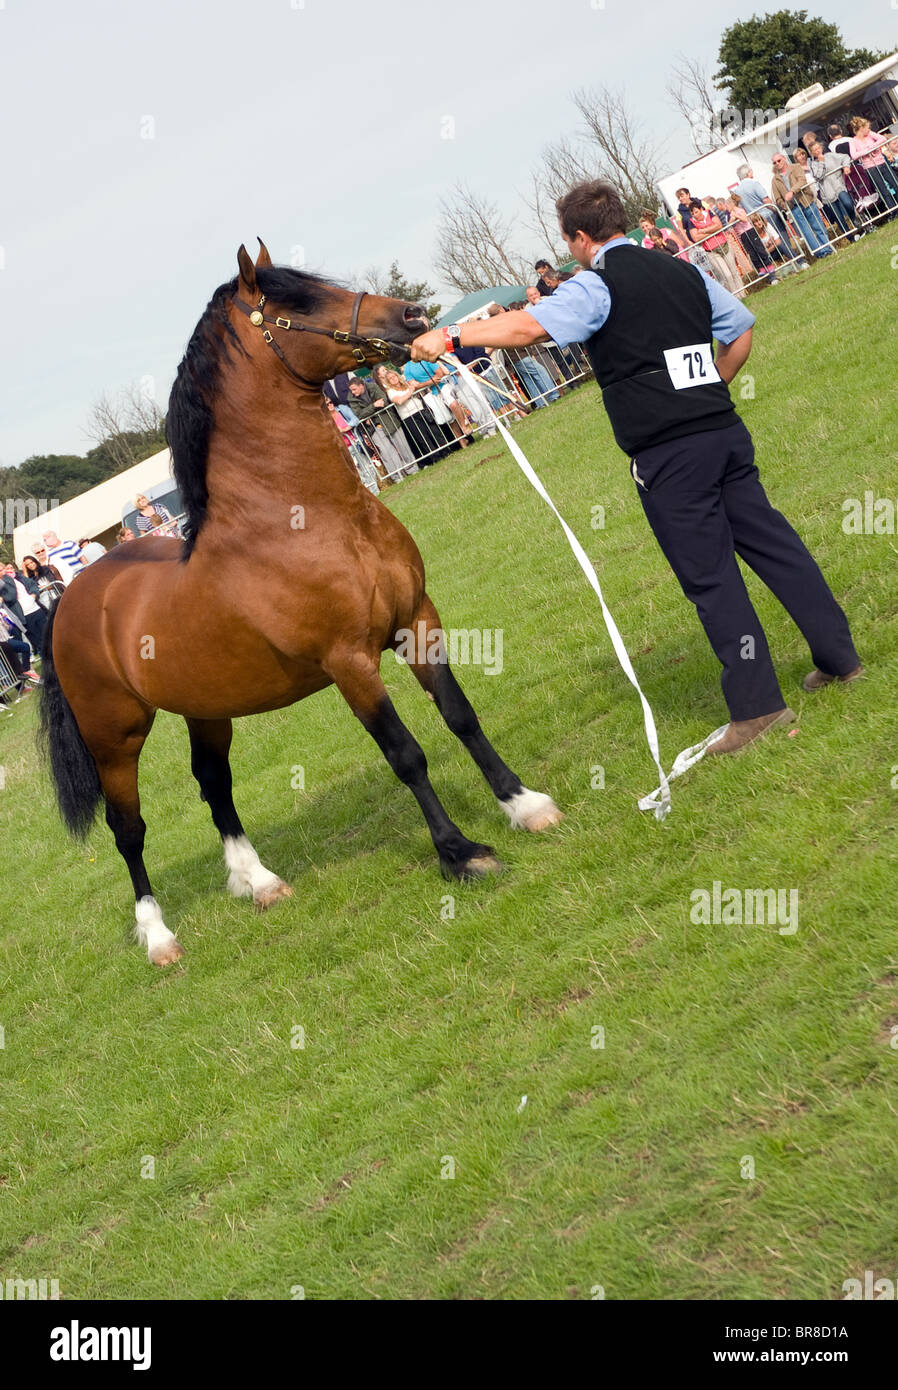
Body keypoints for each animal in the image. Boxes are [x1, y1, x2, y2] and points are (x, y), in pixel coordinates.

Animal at [43, 241, 561, 967]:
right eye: (297, 302)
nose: (412, 318)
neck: (307, 522)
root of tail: (69, 600)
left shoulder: (418, 622)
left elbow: (460, 716)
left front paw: (523, 804)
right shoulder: (349, 662)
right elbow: (406, 754)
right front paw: (460, 853)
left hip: (208, 708)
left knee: (214, 784)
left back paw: (258, 882)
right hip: (114, 738)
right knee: (128, 828)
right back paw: (159, 937)